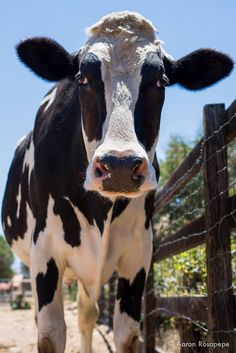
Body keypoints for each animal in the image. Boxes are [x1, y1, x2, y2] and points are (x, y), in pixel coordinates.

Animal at [0, 11, 233, 352]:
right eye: (83, 79)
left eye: (161, 82)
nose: (119, 166)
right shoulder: (45, 252)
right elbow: (50, 335)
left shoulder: (138, 254)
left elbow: (127, 335)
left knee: (87, 315)